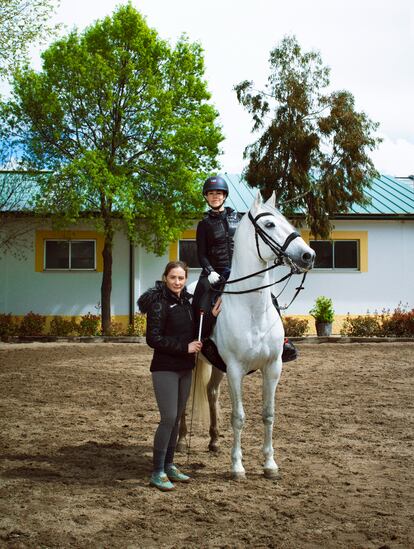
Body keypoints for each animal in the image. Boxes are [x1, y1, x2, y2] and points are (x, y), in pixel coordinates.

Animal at [180, 191, 314, 478]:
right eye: (269, 225)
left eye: (286, 220)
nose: (308, 255)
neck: (252, 309)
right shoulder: (235, 369)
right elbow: (239, 417)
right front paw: (237, 466)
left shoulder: (273, 367)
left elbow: (268, 414)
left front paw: (270, 464)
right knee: (184, 396)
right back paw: (181, 440)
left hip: (216, 366)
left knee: (211, 393)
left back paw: (214, 440)